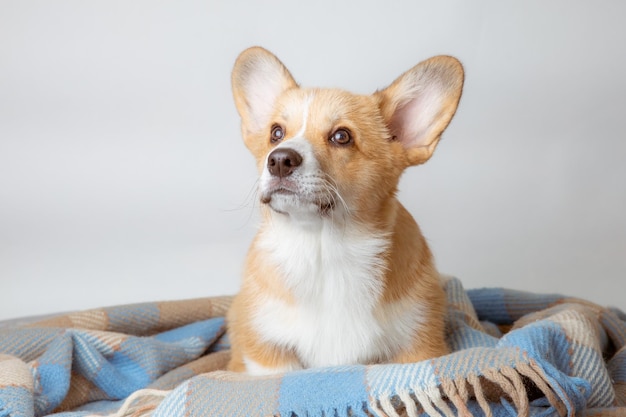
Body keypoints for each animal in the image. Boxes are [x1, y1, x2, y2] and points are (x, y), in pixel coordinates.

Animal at [227, 46, 460, 374]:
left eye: (342, 136)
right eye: (276, 133)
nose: (279, 160)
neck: (323, 247)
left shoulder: (419, 346)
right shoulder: (267, 353)